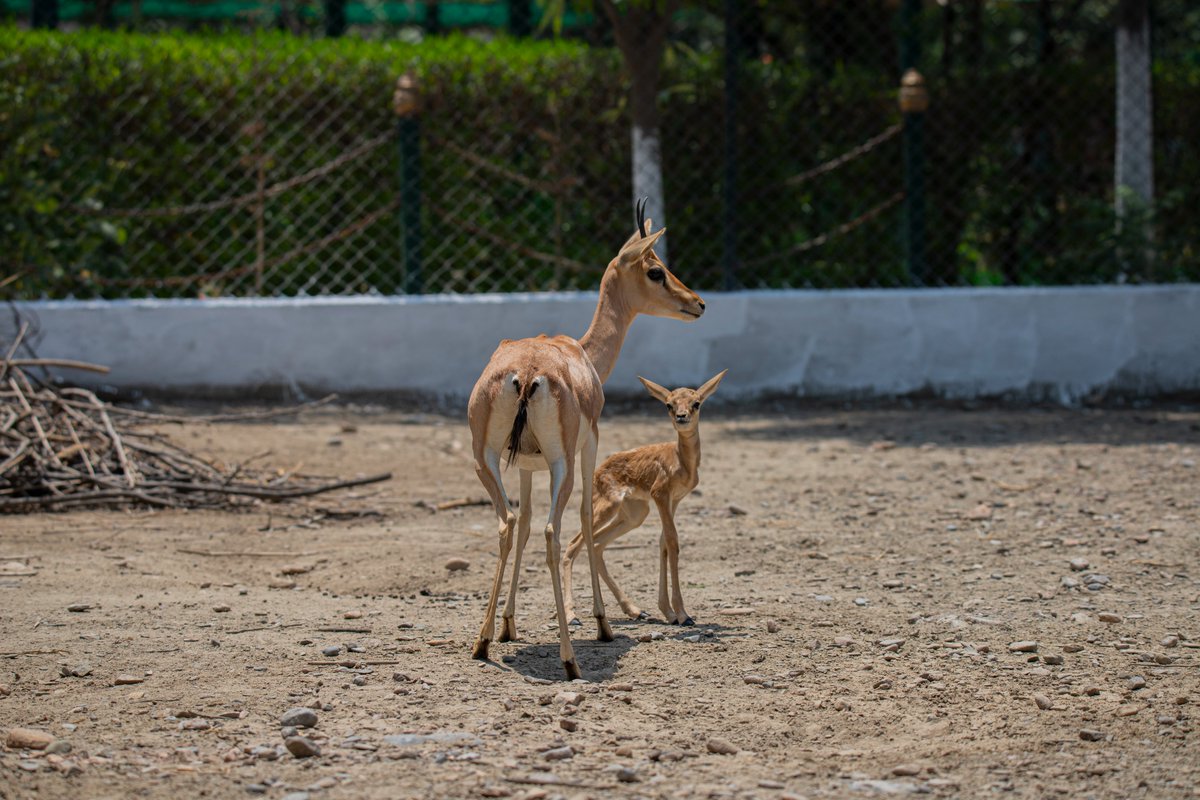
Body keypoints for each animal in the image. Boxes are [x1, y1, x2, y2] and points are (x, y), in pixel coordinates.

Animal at [467, 200, 706, 680]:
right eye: (656, 270)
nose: (698, 303)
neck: (582, 354)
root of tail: (527, 372)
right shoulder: (590, 444)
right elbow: (579, 520)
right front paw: (602, 622)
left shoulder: (524, 465)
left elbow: (522, 525)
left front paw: (507, 625)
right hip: (562, 464)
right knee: (554, 530)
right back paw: (570, 657)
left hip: (486, 461)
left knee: (508, 524)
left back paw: (482, 643)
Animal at [560, 369, 727, 628]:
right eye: (669, 404)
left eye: (696, 402)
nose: (681, 417)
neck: (681, 461)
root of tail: (598, 471)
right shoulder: (660, 495)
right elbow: (672, 541)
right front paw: (683, 614)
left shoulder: (673, 500)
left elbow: (663, 542)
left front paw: (668, 612)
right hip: (607, 508)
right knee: (573, 544)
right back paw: (572, 616)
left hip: (635, 515)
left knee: (596, 545)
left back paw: (636, 611)